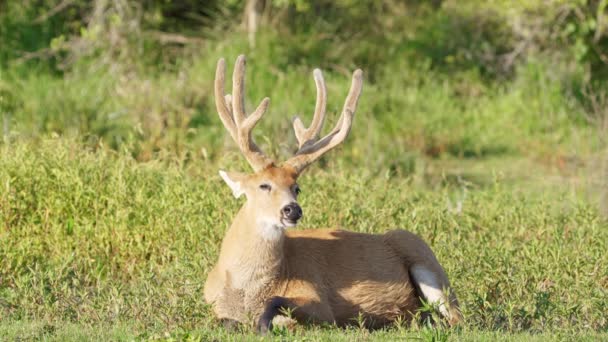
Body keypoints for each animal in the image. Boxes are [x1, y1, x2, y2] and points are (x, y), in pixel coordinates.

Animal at [204, 54, 460, 332]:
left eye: (296, 187)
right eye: (264, 185)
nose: (292, 209)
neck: (244, 290)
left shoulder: (319, 302)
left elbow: (279, 306)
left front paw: (264, 324)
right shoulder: (212, 305)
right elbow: (226, 321)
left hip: (423, 256)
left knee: (456, 318)